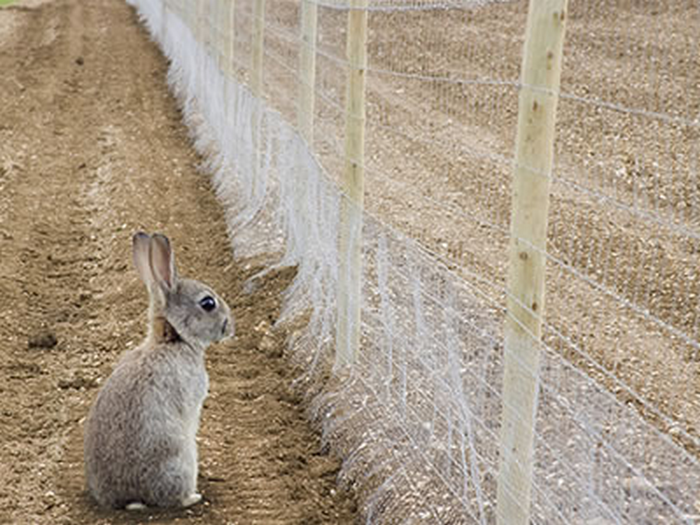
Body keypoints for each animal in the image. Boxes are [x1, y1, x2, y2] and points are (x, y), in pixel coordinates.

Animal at [83, 232, 234, 510]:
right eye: (208, 303)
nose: (231, 327)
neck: (171, 339)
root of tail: (129, 498)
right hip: (182, 457)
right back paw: (192, 497)